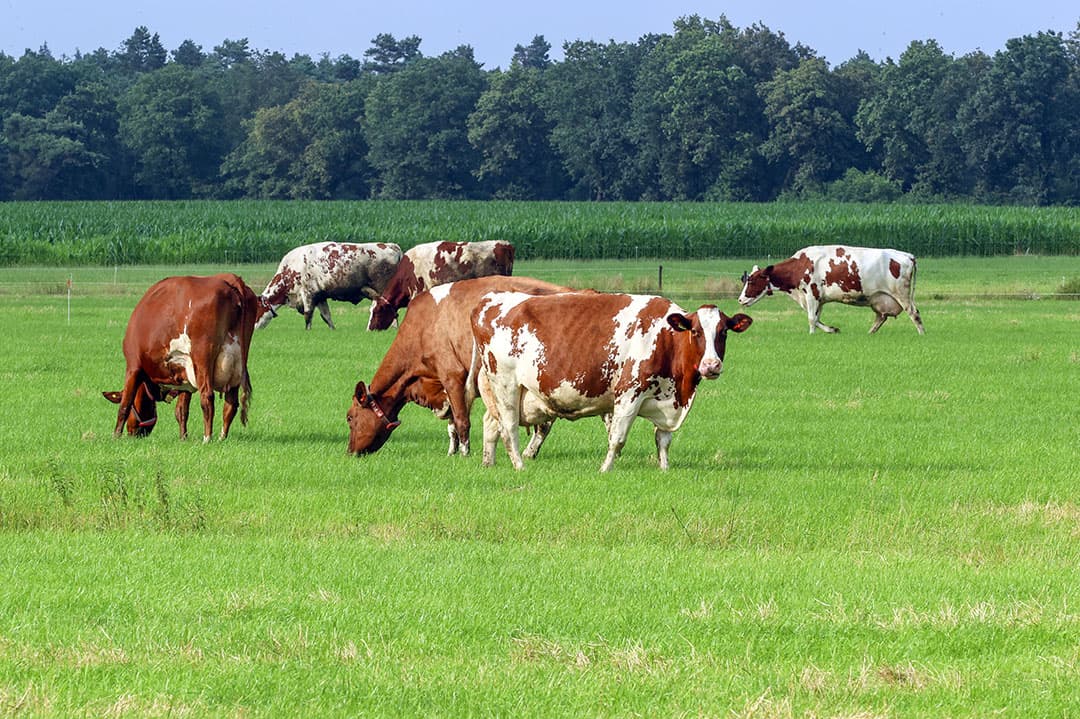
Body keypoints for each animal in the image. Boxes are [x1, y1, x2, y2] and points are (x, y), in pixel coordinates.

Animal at [103, 273, 258, 441]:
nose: (134, 434)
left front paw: (116, 436)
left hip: (202, 359)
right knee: (231, 405)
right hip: (237, 364)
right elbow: (181, 410)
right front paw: (183, 437)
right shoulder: (185, 375)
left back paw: (207, 439)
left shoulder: (133, 365)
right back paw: (222, 438)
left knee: (207, 397)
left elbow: (125, 404)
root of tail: (231, 279)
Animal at [256, 242, 403, 330]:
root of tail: (391, 246)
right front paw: (333, 330)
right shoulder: (320, 296)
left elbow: (308, 315)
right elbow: (326, 317)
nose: (254, 328)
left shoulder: (308, 293)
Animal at [348, 276, 570, 457]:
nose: (350, 452)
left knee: (545, 423)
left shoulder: (452, 376)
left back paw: (528, 452)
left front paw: (464, 453)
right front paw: (452, 452)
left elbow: (462, 420)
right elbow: (452, 422)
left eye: (349, 418)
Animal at [471, 292, 752, 472]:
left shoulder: (665, 400)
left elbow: (663, 439)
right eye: (695, 331)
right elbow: (617, 438)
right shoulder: (629, 393)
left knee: (491, 425)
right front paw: (605, 469)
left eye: (723, 332)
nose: (711, 365)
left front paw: (664, 469)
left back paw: (488, 463)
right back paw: (520, 466)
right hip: (506, 385)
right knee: (509, 428)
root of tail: (488, 300)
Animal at [738, 245, 924, 335]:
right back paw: (869, 333)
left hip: (901, 294)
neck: (801, 265)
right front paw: (832, 330)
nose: (740, 300)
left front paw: (811, 335)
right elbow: (816, 318)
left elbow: (811, 319)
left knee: (914, 313)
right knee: (881, 317)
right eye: (745, 279)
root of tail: (907, 255)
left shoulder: (811, 294)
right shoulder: (818, 299)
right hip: (878, 299)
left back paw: (922, 334)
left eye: (752, 280)